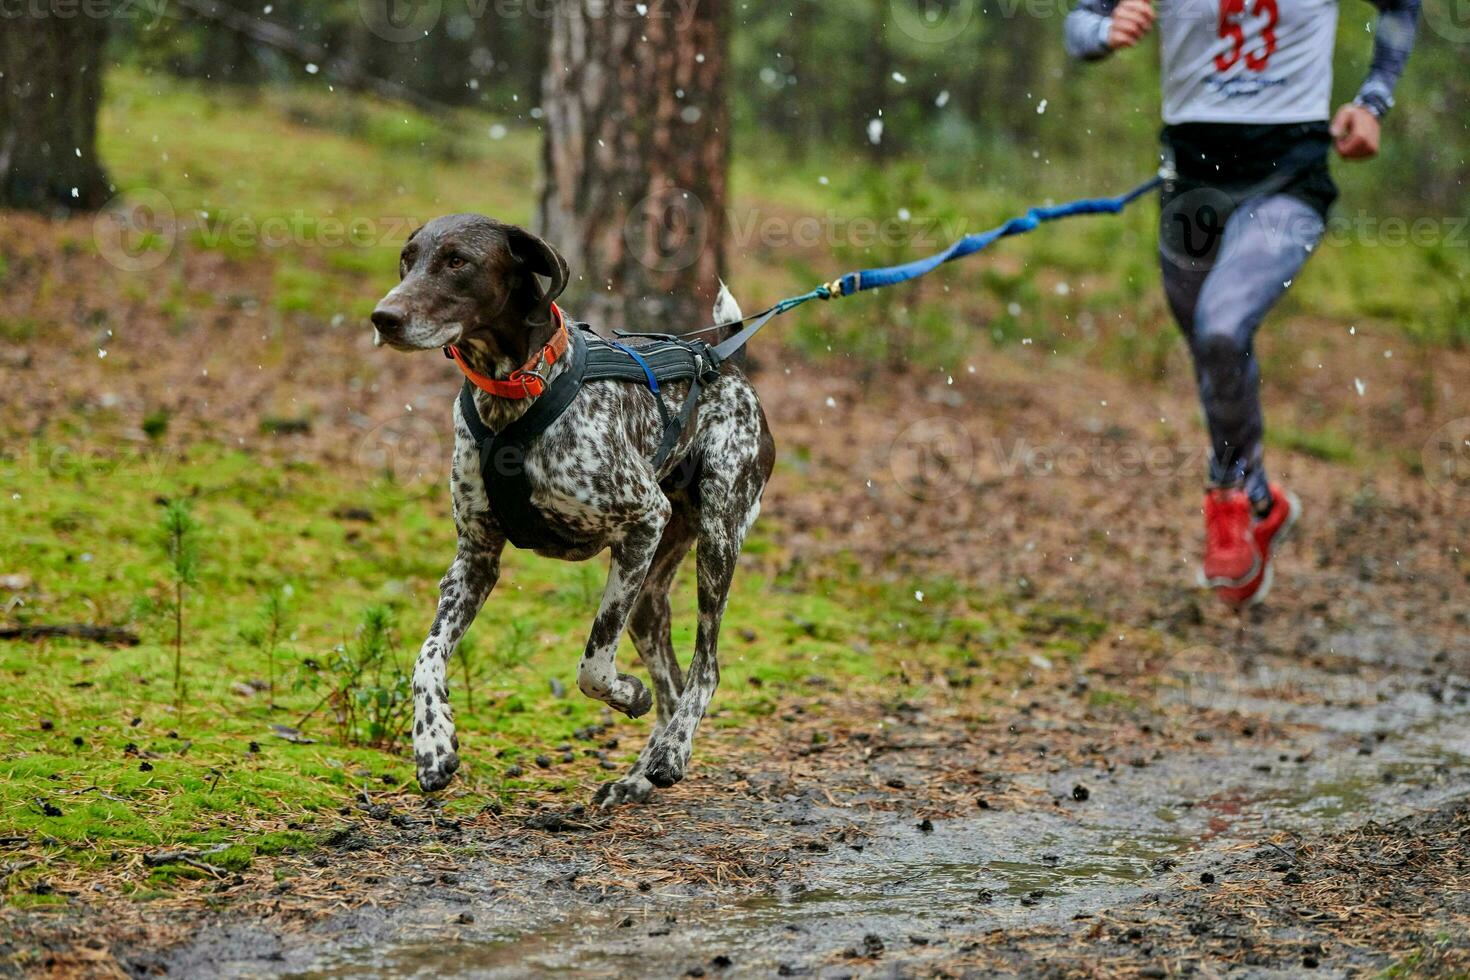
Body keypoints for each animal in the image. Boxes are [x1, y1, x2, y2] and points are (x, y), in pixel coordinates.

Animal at [370, 218, 782, 811]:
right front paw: (432, 743)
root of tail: (723, 361)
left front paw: (624, 692)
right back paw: (638, 777)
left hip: (716, 545)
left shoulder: (642, 520)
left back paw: (672, 751)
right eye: (408, 259)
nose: (384, 317)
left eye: (457, 261)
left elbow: (594, 664)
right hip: (649, 597)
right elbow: (426, 657)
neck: (515, 392)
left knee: (705, 667)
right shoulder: (474, 561)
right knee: (671, 686)